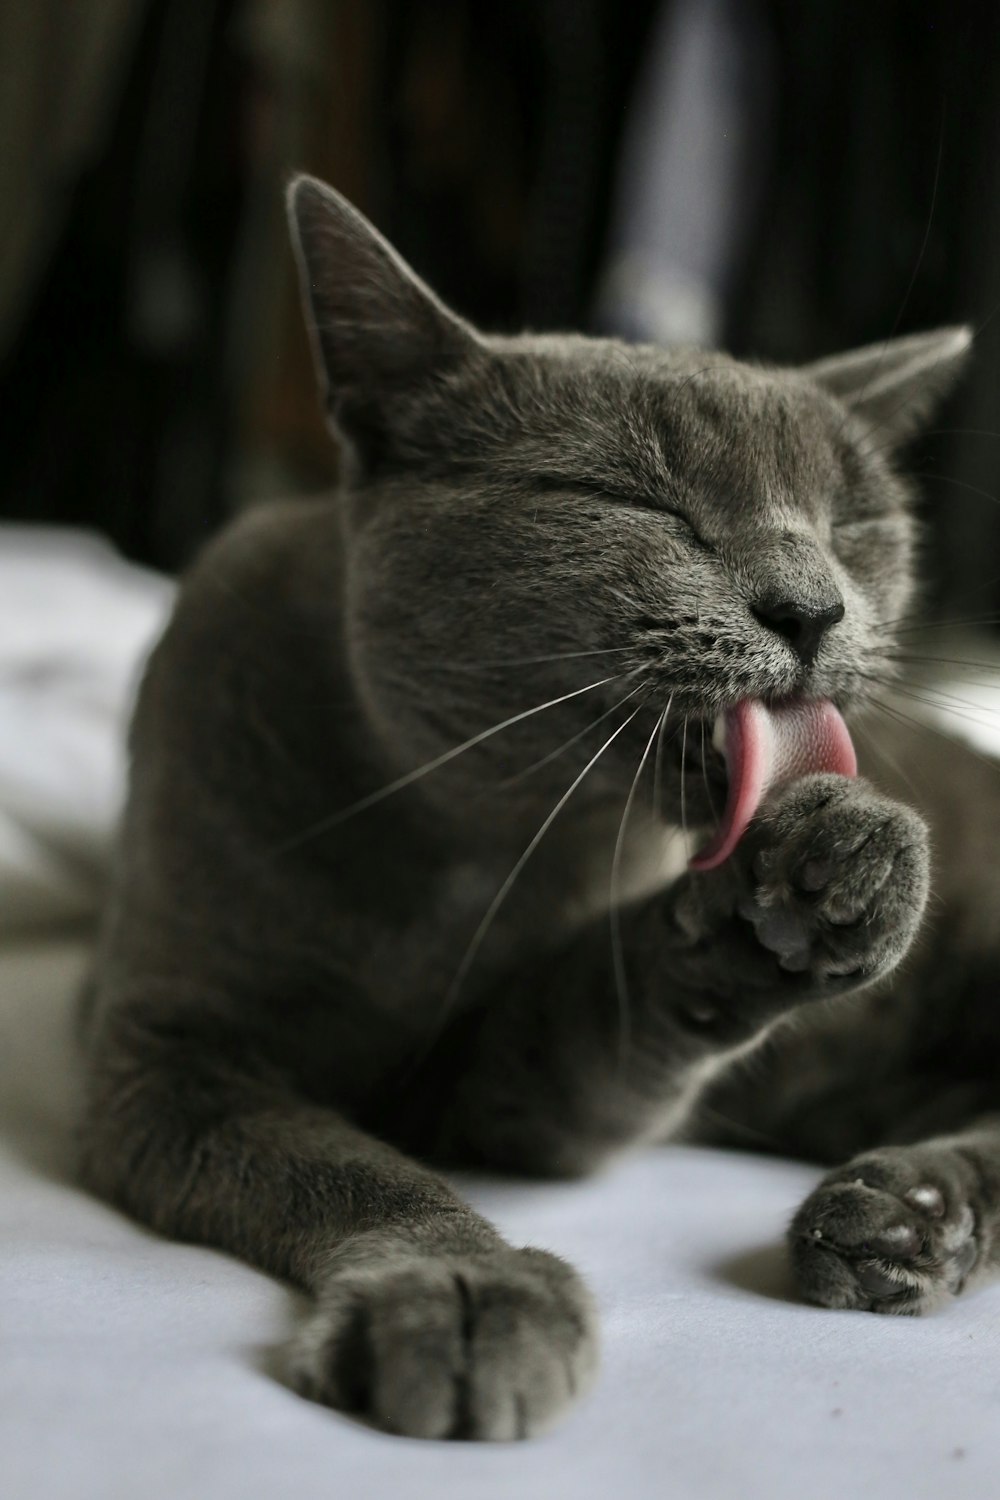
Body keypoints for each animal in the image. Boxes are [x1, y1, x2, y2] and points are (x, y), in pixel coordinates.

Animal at [76, 172, 1000, 1440]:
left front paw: (835, 868)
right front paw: (465, 1294)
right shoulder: (168, 1053)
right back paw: (898, 1214)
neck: (466, 845)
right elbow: (349, 1165)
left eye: (853, 525)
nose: (811, 607)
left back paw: (892, 1213)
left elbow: (605, 1006)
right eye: (631, 499)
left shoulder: (502, 1095)